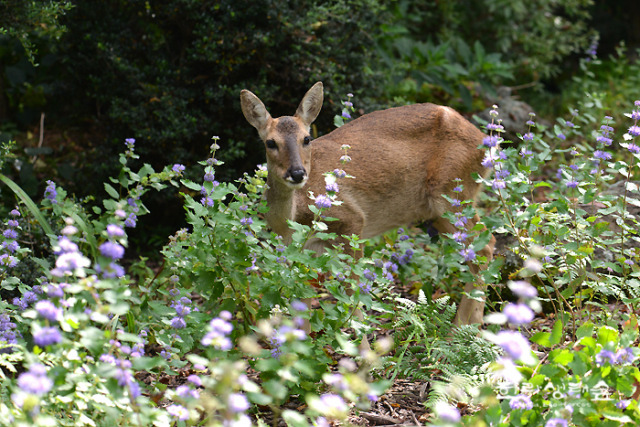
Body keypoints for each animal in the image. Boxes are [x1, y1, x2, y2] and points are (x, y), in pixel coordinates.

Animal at [240, 82, 496, 326]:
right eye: (270, 142)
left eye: (306, 138)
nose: (297, 173)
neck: (293, 219)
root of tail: (486, 143)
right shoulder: (301, 252)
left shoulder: (352, 220)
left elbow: (353, 296)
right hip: (438, 212)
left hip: (452, 192)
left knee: (486, 246)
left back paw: (462, 328)